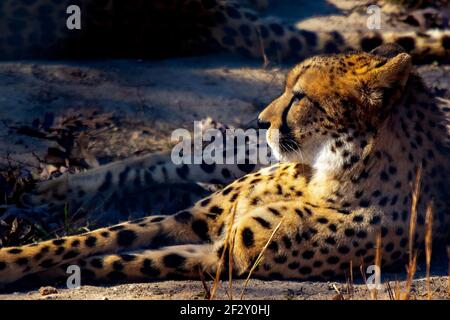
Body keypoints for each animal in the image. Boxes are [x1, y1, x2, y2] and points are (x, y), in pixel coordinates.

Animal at [0, 43, 450, 288]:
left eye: (300, 97)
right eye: (287, 88)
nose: (261, 121)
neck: (330, 173)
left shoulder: (226, 255)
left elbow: (131, 257)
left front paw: (67, 269)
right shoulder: (195, 218)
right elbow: (90, 239)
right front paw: (14, 258)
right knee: (164, 161)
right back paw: (48, 190)